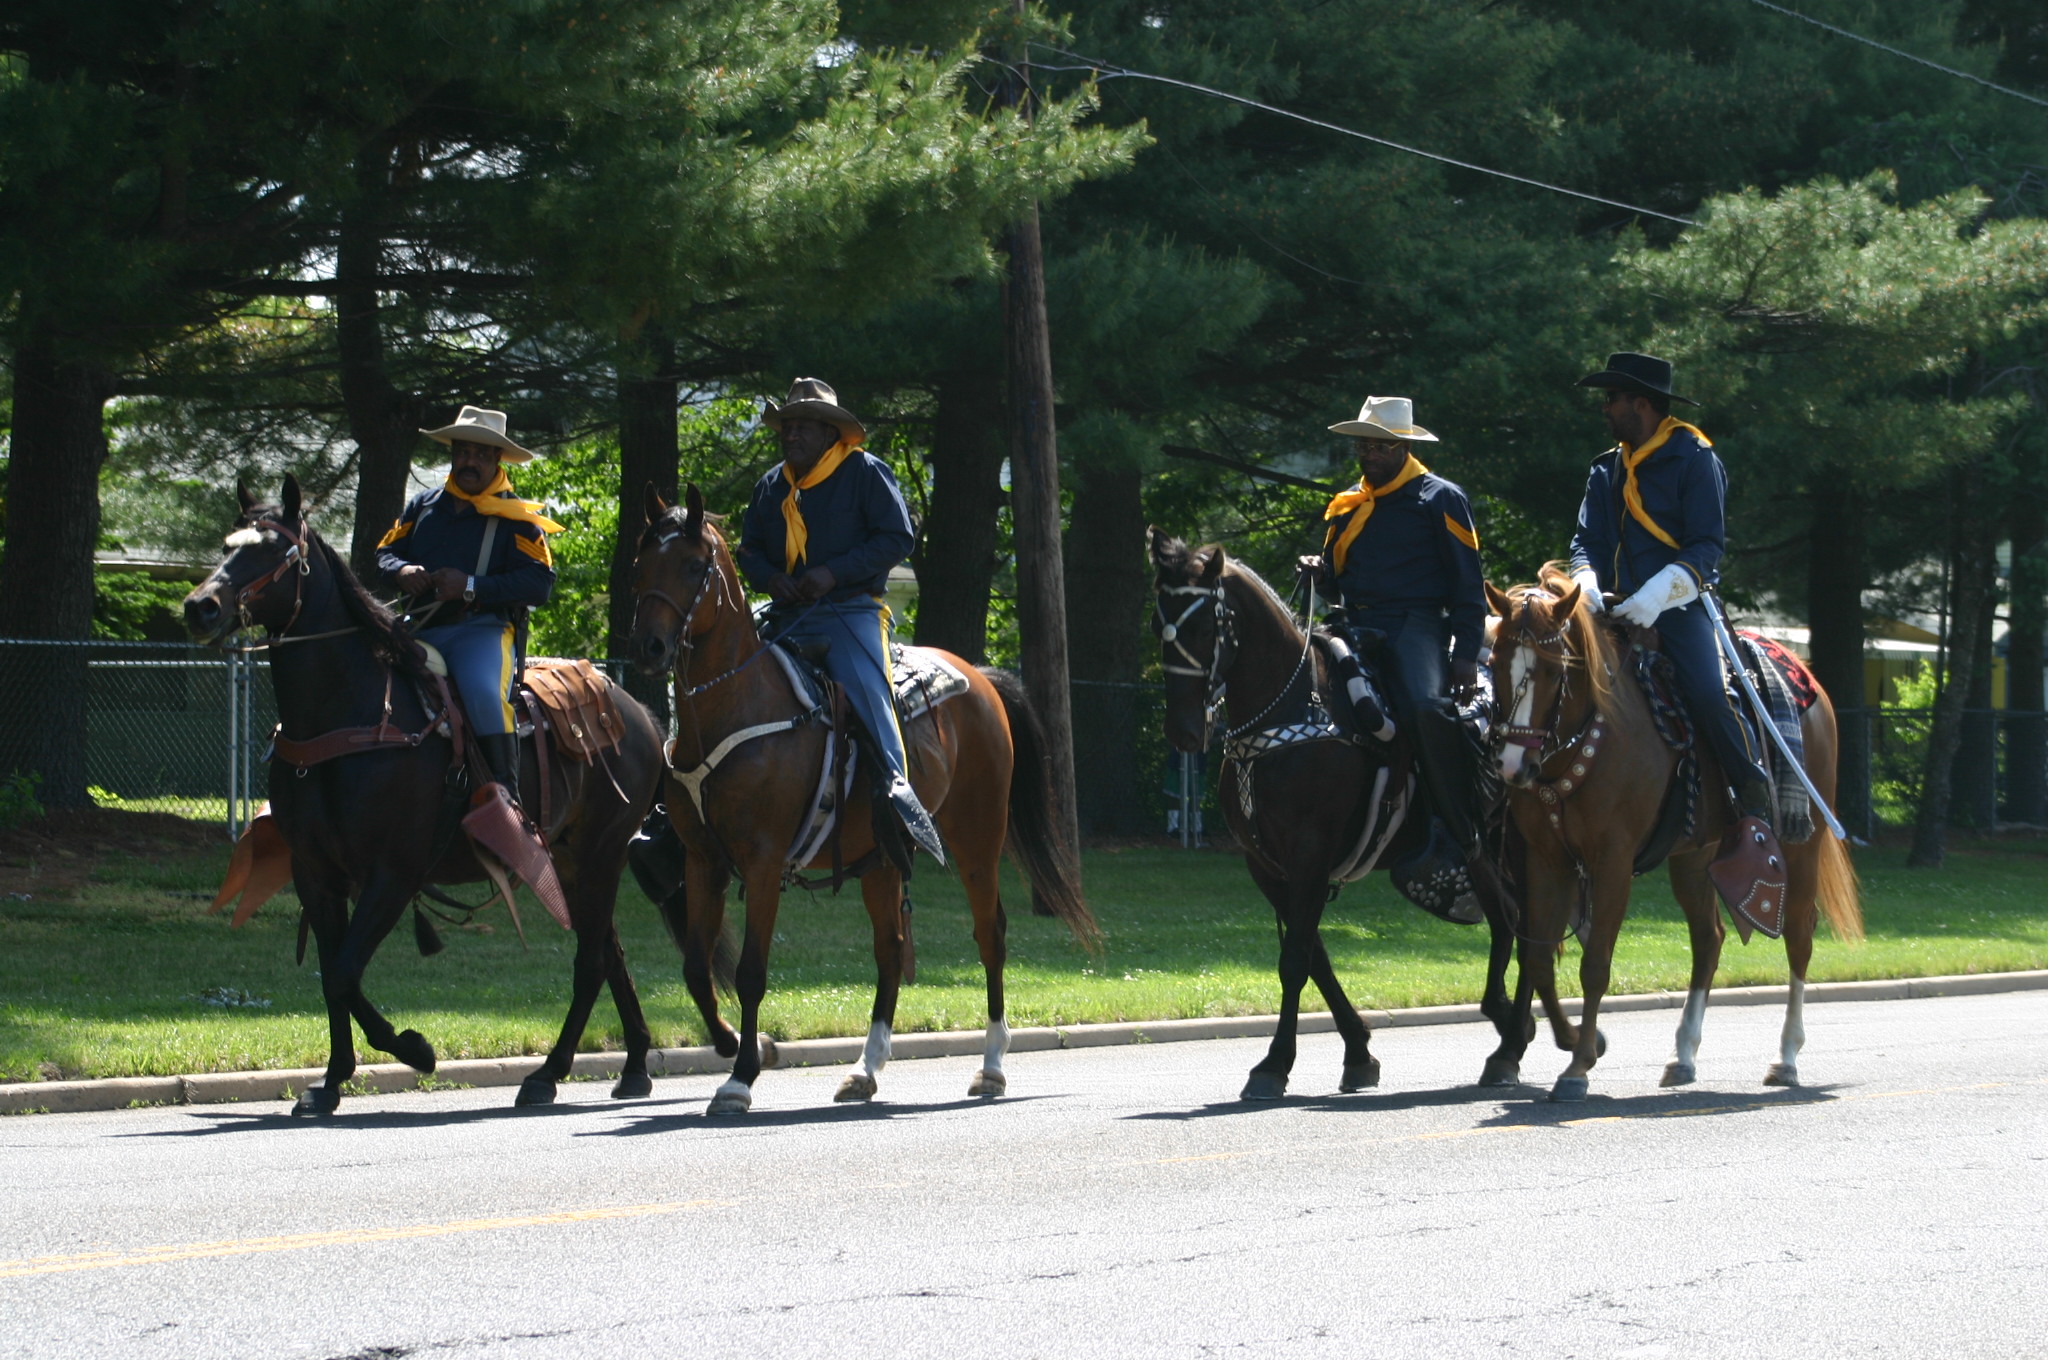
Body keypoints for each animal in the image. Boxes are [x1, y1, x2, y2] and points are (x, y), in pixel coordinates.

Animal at [183, 475, 669, 1115]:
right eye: (225, 547)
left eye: (275, 552)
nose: (201, 607)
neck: (351, 712)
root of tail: (638, 714)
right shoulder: (317, 874)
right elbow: (333, 976)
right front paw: (331, 1081)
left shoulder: (393, 873)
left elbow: (344, 970)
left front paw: (414, 1048)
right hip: (569, 862)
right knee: (610, 951)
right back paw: (634, 1065)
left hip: (600, 854)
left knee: (591, 960)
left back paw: (547, 1074)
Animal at [626, 485, 1096, 1114]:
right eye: (640, 565)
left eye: (694, 566)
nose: (649, 646)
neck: (738, 702)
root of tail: (981, 677)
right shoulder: (704, 860)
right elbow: (698, 967)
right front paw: (733, 1045)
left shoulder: (763, 860)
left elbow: (750, 972)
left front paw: (741, 1077)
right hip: (881, 857)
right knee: (890, 949)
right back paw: (865, 1069)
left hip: (977, 839)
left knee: (990, 935)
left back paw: (992, 1066)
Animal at [1148, 529, 1540, 1099]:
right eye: (1159, 624)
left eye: (1202, 627)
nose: (1182, 730)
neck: (1289, 708)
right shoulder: (1267, 866)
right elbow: (1314, 956)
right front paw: (1358, 1051)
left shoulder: (1309, 853)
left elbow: (1294, 961)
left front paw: (1273, 1064)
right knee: (1510, 917)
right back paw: (1513, 1024)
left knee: (1521, 920)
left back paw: (1509, 1044)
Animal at [1485, 567, 1863, 1101]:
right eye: (1496, 662)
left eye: (1556, 670)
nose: (1514, 765)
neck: (1588, 738)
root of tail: (1804, 675)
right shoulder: (1545, 859)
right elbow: (1537, 961)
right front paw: (1576, 1040)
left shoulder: (1612, 861)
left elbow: (1594, 964)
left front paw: (1578, 1066)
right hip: (1695, 855)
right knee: (1709, 938)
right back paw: (1683, 1054)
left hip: (1800, 843)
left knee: (1797, 936)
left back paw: (1786, 1058)